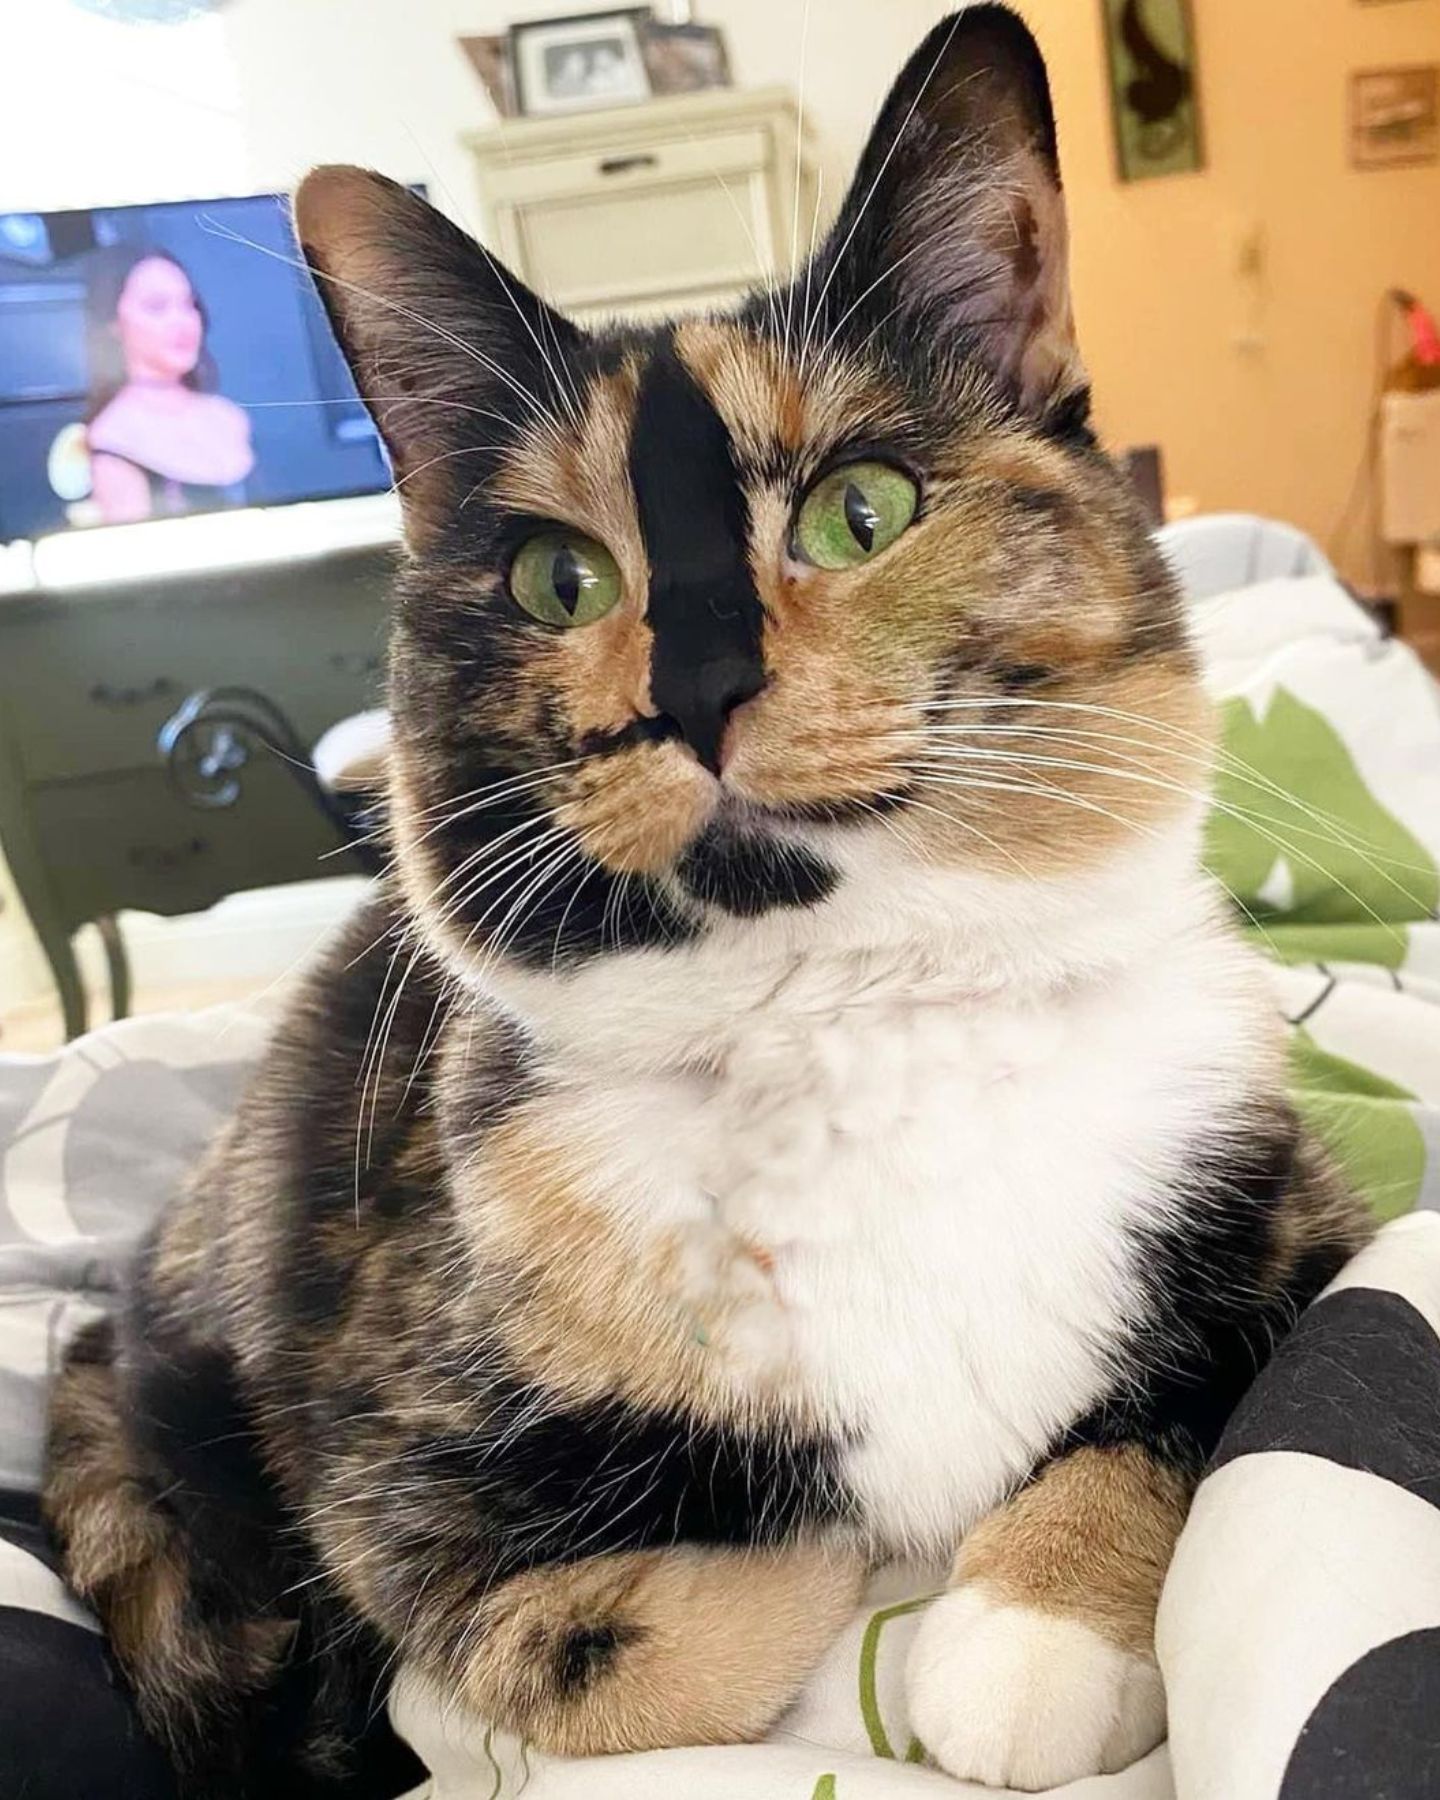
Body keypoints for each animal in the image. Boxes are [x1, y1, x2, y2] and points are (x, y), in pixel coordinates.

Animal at [47, 7, 1375, 1792]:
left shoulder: (1300, 1208)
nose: (695, 686)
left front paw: (1030, 1629)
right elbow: (613, 1639)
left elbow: (1199, 1393)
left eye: (861, 508)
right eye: (561, 577)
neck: (855, 1025)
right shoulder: (380, 1461)